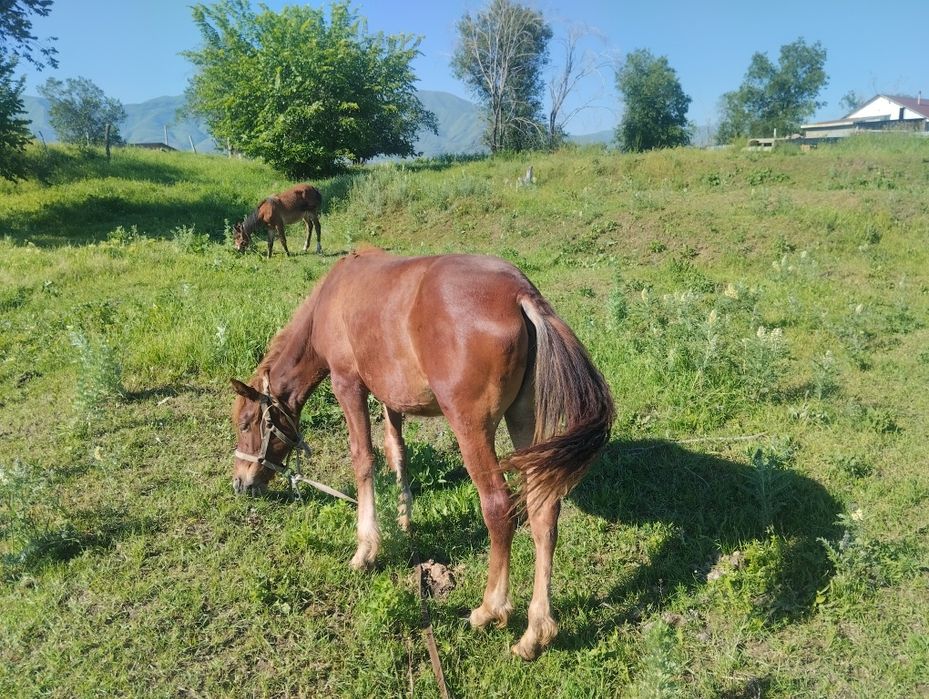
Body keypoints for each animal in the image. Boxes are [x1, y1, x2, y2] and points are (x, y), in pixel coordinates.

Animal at [230, 248, 614, 660]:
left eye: (246, 423)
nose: (241, 482)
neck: (330, 300)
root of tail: (520, 295)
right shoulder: (389, 394)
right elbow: (396, 451)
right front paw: (404, 518)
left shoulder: (348, 384)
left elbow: (363, 460)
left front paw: (366, 548)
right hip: (525, 424)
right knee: (543, 512)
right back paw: (535, 632)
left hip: (471, 428)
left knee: (498, 508)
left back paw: (489, 609)